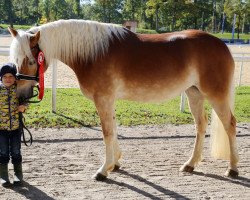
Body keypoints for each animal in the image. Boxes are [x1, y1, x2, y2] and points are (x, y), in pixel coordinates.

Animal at [8, 19, 238, 180]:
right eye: (15, 59)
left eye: (31, 61)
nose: (21, 94)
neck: (93, 53)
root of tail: (222, 45)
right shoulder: (108, 101)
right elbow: (114, 129)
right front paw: (115, 163)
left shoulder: (103, 99)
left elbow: (107, 132)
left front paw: (103, 170)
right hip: (194, 94)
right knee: (201, 125)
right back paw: (190, 164)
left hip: (215, 95)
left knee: (229, 125)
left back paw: (233, 168)